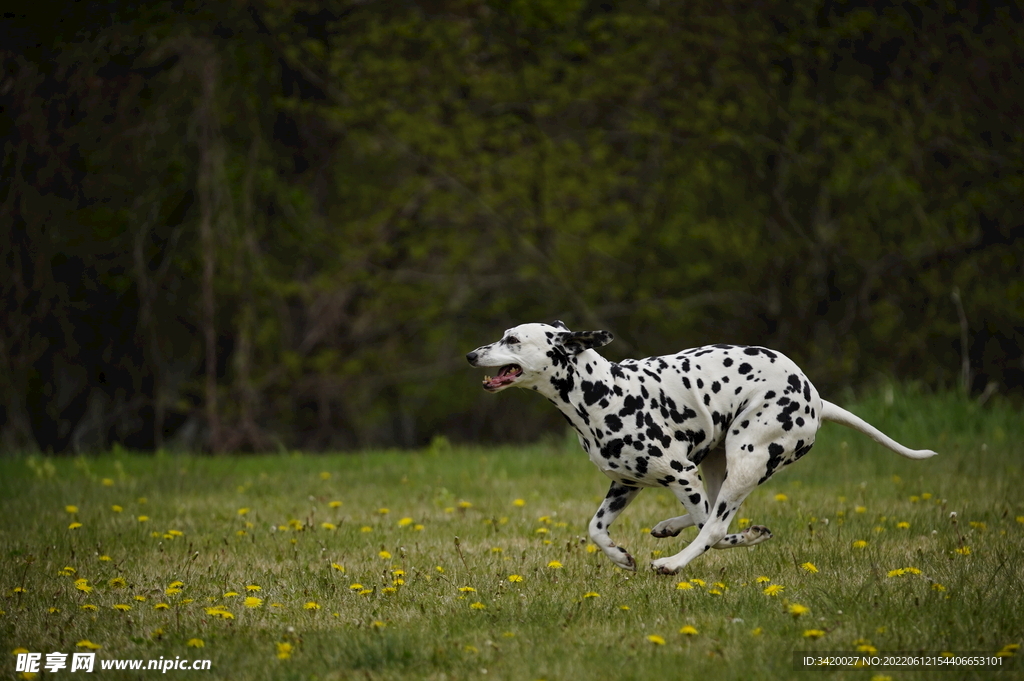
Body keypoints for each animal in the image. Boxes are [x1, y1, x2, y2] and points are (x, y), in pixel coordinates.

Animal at [464, 319, 937, 573]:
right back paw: (673, 528)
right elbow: (596, 529)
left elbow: (712, 528)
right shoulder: (625, 485)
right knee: (712, 513)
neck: (602, 393)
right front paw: (619, 556)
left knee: (714, 524)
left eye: (512, 339)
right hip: (716, 462)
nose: (470, 355)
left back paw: (675, 562)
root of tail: (815, 397)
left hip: (745, 462)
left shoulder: (679, 473)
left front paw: (736, 541)